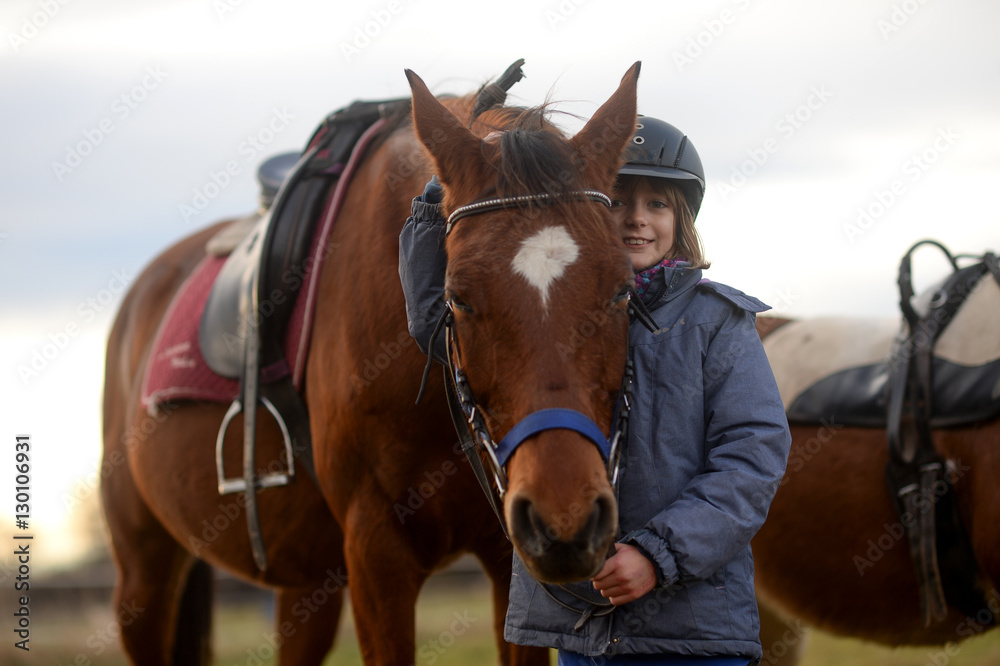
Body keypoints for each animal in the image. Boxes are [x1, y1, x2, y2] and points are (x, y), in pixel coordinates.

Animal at [100, 61, 641, 665]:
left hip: (307, 582)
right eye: (457, 299)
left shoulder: (509, 559)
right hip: (144, 575)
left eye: (623, 290)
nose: (566, 520)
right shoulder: (376, 553)